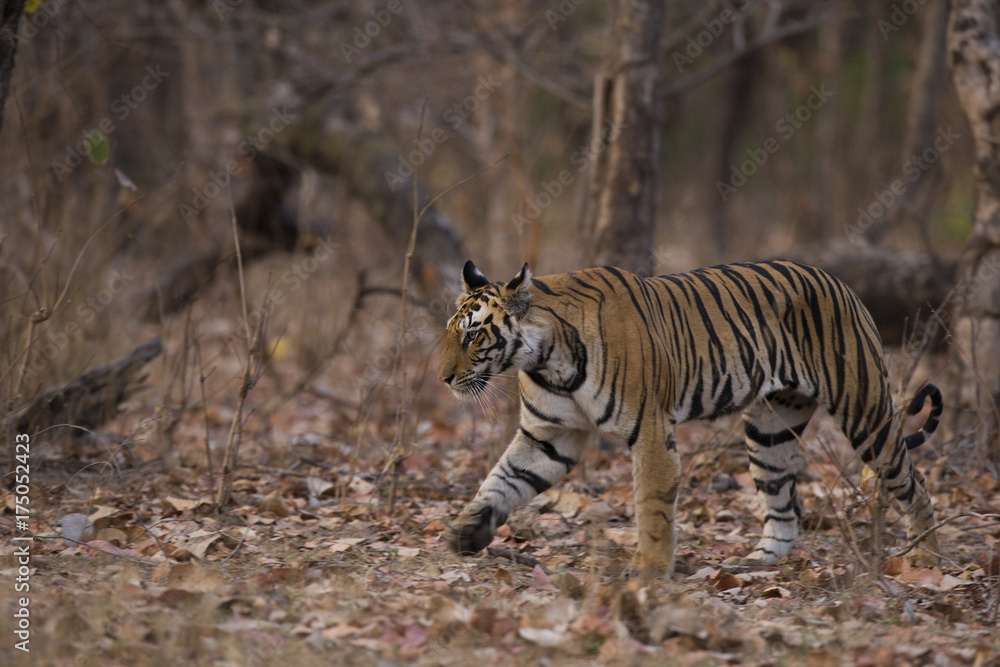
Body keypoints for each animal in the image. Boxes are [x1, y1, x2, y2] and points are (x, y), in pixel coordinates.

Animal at [437, 259, 942, 578]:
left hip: (865, 413)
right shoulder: (549, 436)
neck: (545, 359)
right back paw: (755, 563)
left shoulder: (651, 432)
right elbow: (502, 480)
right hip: (770, 431)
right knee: (784, 509)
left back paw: (926, 558)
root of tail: (841, 283)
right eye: (450, 333)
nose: (443, 378)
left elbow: (653, 507)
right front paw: (464, 532)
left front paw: (648, 571)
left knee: (914, 485)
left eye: (473, 335)